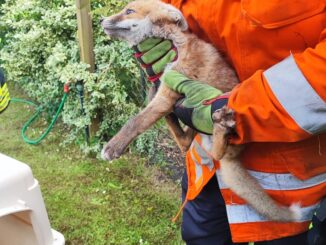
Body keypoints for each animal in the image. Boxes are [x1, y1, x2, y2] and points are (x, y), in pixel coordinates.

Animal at [99, 0, 300, 222]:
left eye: (129, 11)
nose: (100, 19)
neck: (173, 44)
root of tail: (235, 157)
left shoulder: (166, 93)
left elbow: (134, 122)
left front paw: (113, 147)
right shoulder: (160, 92)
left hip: (222, 134)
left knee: (216, 152)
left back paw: (221, 126)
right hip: (200, 136)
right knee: (187, 143)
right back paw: (184, 121)